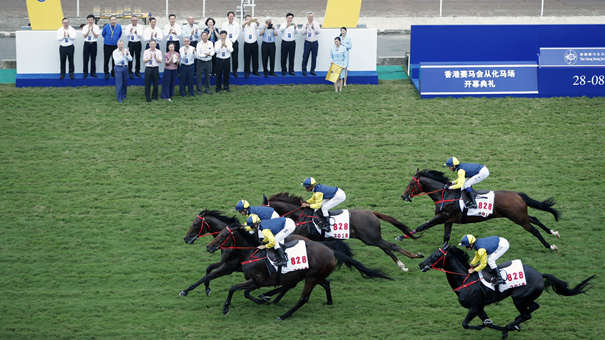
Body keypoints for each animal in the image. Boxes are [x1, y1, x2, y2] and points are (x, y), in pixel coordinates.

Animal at [205, 224, 390, 320]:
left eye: (223, 236)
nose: (209, 246)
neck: (253, 253)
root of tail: (331, 251)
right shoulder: (255, 282)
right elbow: (244, 292)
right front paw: (263, 299)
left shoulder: (257, 281)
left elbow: (234, 289)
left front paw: (226, 308)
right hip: (310, 275)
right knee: (322, 283)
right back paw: (328, 302)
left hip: (311, 277)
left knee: (303, 298)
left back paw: (284, 315)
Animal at [266, 193, 422, 272]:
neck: (300, 216)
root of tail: (371, 212)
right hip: (373, 238)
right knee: (387, 248)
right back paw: (402, 266)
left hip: (371, 238)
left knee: (391, 246)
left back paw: (415, 256)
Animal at [398, 169, 560, 250]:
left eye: (411, 183)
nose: (403, 196)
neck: (446, 194)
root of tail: (517, 194)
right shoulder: (448, 220)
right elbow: (446, 237)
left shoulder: (441, 217)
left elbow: (422, 226)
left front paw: (402, 236)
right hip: (519, 215)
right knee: (536, 220)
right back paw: (554, 232)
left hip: (519, 218)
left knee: (535, 230)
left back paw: (550, 246)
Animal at [418, 244, 592, 338]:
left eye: (436, 254)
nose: (421, 264)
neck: (465, 281)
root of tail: (539, 274)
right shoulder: (479, 307)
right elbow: (487, 322)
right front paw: (498, 329)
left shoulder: (474, 306)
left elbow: (466, 324)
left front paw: (502, 330)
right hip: (526, 298)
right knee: (533, 307)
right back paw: (515, 323)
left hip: (519, 299)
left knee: (527, 314)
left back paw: (511, 325)